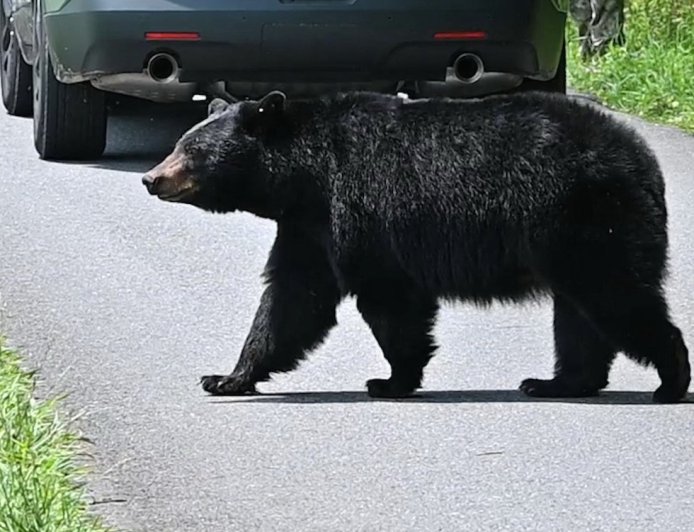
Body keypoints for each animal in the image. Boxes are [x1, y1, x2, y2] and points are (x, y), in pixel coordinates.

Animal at [142, 90, 691, 403]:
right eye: (180, 142)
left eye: (192, 150)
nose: (150, 178)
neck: (304, 176)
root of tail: (643, 158)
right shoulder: (308, 227)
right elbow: (292, 299)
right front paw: (226, 378)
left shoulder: (362, 210)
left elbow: (387, 300)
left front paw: (391, 380)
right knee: (579, 316)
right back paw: (556, 382)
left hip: (589, 220)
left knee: (616, 298)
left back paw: (670, 380)